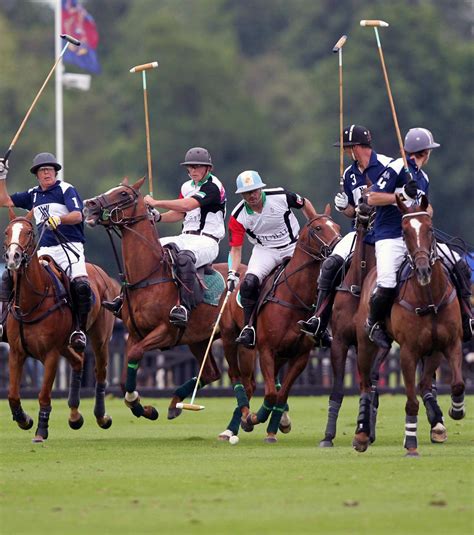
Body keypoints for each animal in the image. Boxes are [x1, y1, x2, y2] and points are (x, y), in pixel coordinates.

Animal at [4, 210, 118, 444]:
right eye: (6, 232)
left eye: (29, 232)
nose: (12, 257)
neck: (30, 303)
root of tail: (102, 273)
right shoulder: (17, 352)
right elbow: (12, 395)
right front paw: (24, 420)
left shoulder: (51, 353)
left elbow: (44, 394)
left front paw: (41, 431)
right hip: (67, 344)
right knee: (78, 361)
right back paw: (74, 416)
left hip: (100, 338)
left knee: (100, 372)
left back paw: (102, 417)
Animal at [82, 178, 228, 420]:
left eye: (123, 194)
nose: (89, 205)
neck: (148, 277)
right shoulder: (134, 333)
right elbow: (123, 380)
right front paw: (144, 409)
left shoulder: (165, 332)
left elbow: (135, 354)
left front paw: (140, 405)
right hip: (199, 338)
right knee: (210, 373)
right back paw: (175, 404)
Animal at [218, 207, 340, 442]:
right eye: (318, 228)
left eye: (337, 226)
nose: (339, 244)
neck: (293, 296)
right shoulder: (266, 349)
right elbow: (271, 394)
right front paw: (254, 419)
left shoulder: (300, 356)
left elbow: (281, 393)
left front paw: (273, 429)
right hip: (231, 338)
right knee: (238, 378)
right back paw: (237, 422)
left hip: (277, 354)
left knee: (262, 382)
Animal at [352, 197, 466, 456]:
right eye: (404, 232)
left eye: (430, 229)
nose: (423, 270)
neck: (429, 297)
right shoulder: (407, 352)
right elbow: (411, 401)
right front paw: (411, 443)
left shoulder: (449, 343)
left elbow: (456, 383)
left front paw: (456, 409)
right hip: (365, 345)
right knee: (365, 384)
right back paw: (362, 434)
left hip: (421, 350)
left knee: (419, 382)